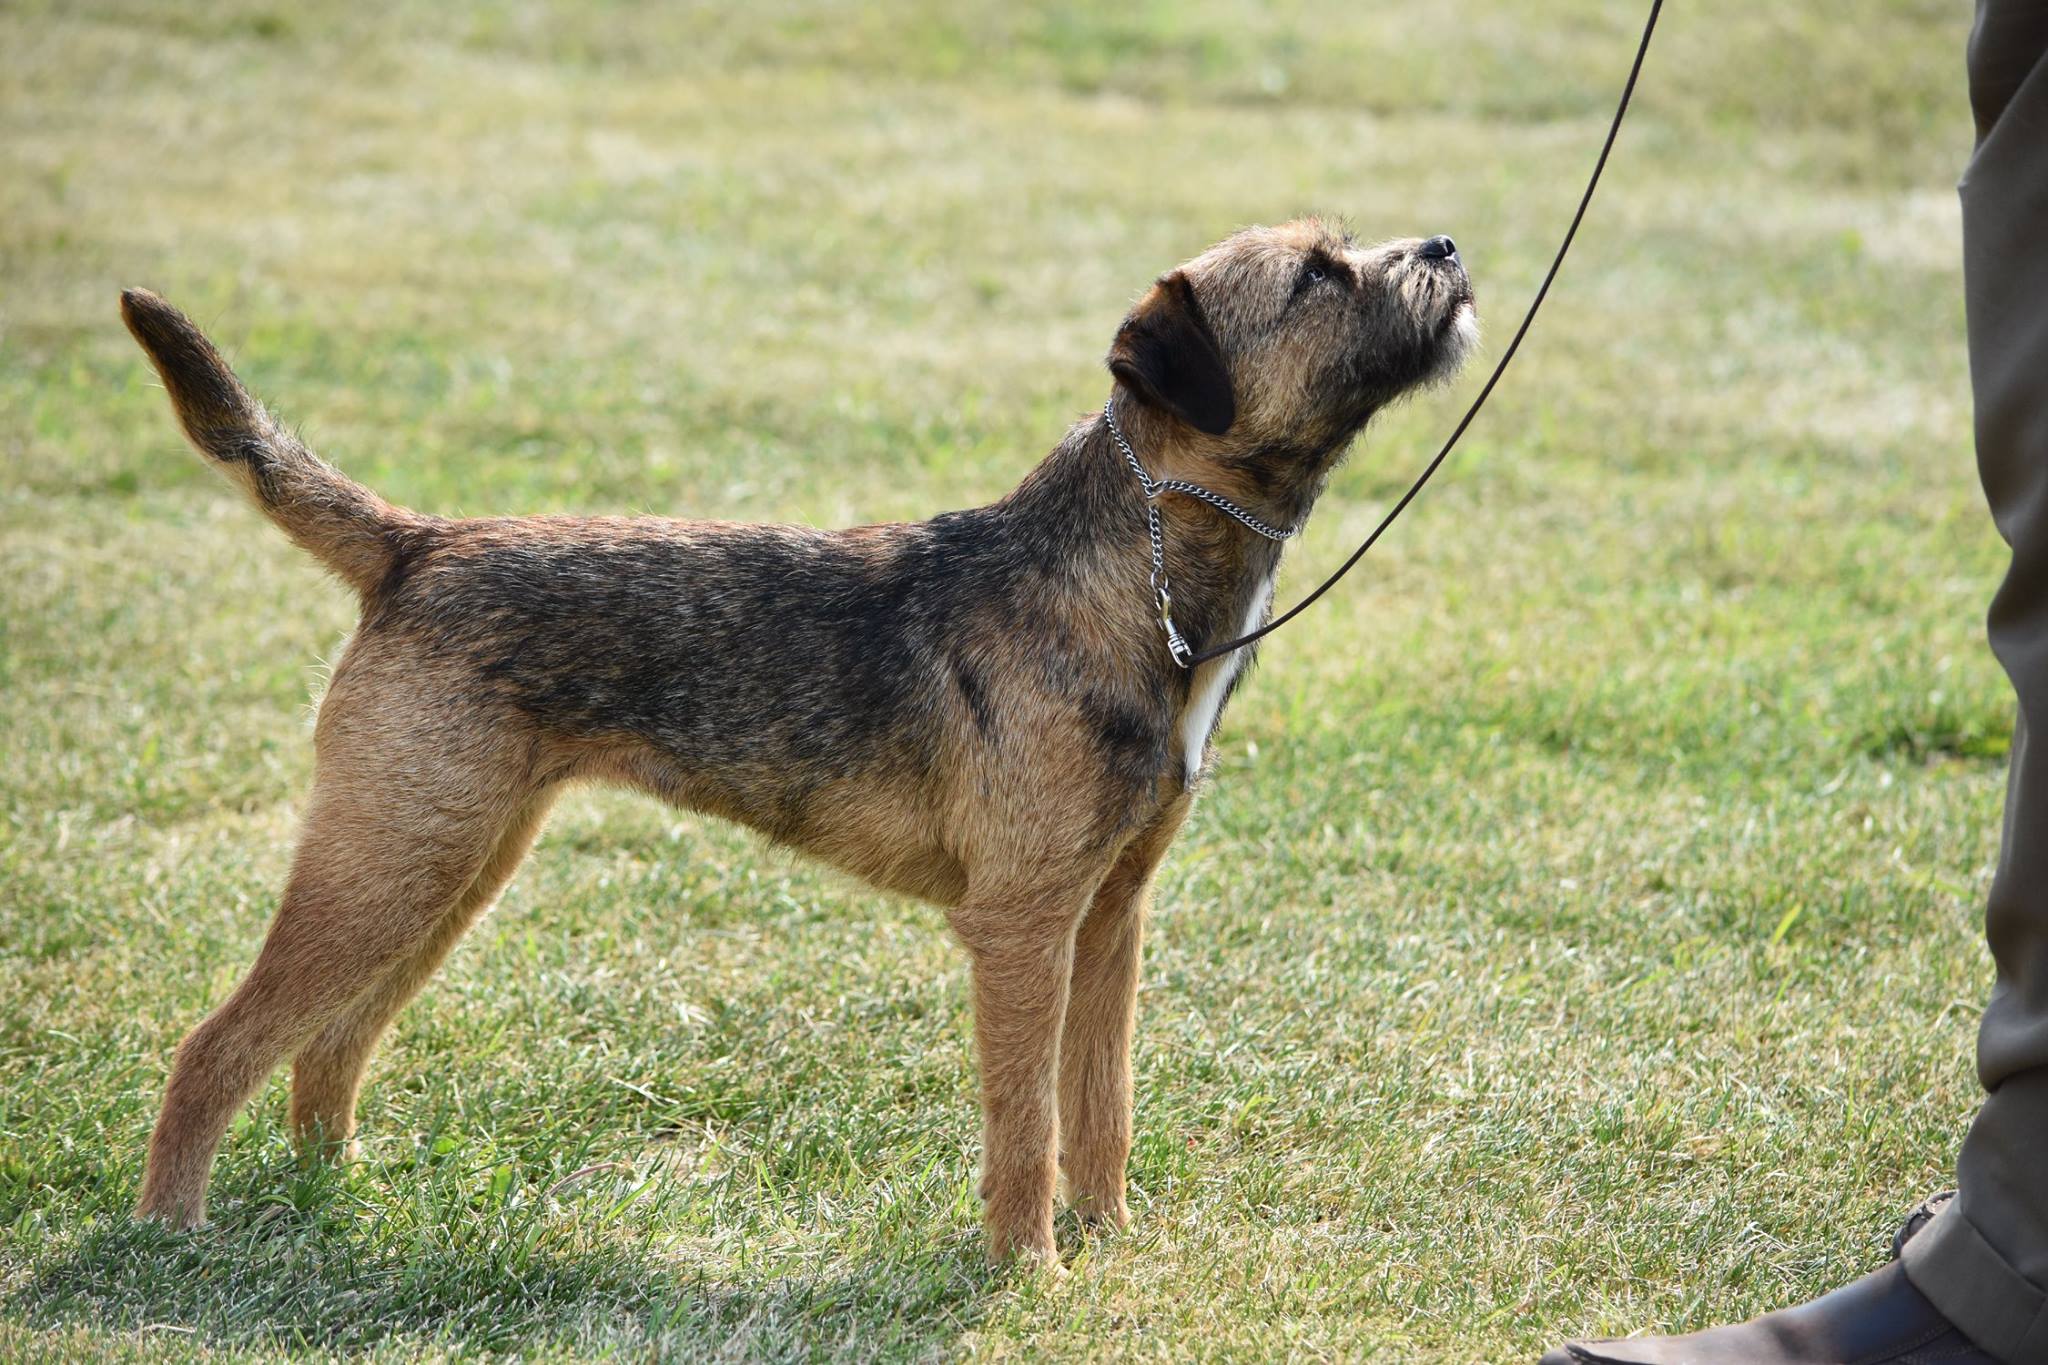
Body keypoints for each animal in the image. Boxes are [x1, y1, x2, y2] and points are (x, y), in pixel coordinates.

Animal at [123, 218, 1474, 1268]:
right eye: (1316, 276)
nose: (1447, 248)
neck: (1123, 574)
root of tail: (416, 543)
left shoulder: (1109, 917)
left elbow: (1099, 1104)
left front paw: (1108, 1244)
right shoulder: (1021, 926)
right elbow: (1023, 1121)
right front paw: (1029, 1273)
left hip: (448, 860)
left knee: (332, 1038)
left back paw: (334, 1191)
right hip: (395, 855)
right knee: (217, 1043)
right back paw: (169, 1233)